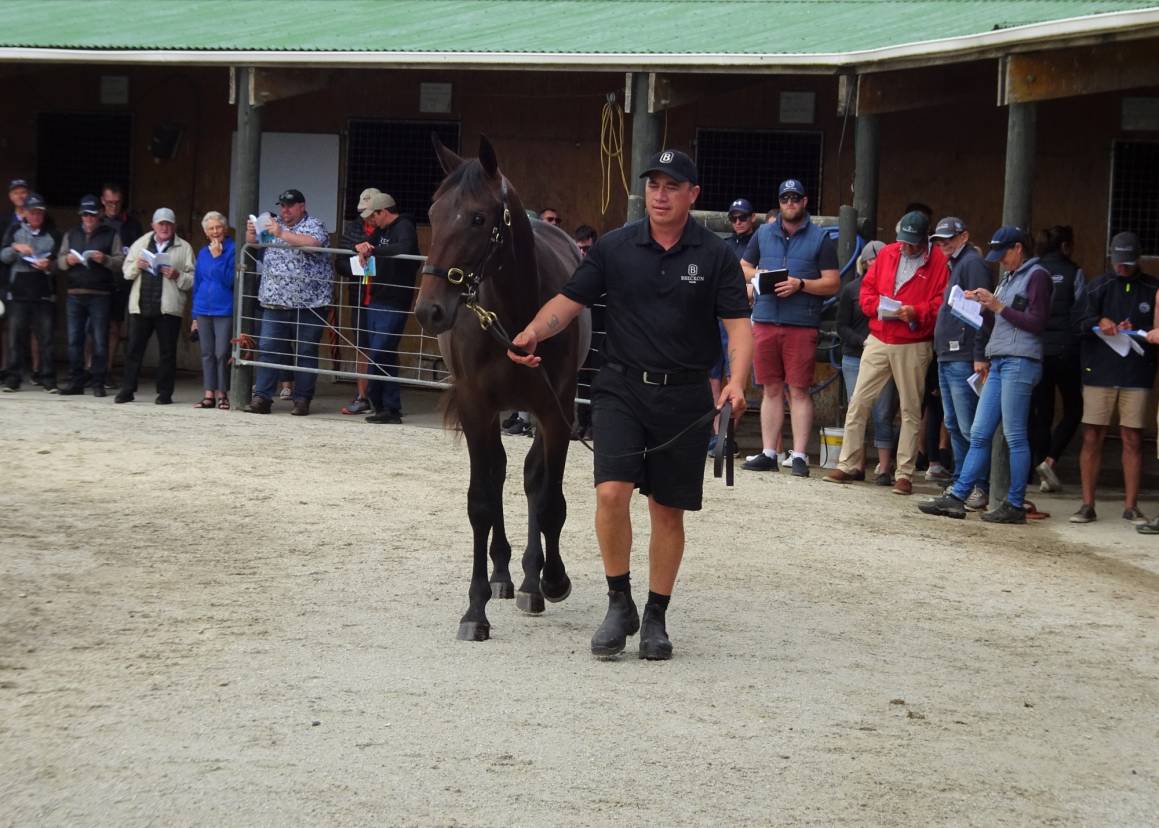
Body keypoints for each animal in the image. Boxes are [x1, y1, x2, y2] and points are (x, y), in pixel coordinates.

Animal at [414, 133, 593, 640]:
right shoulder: (476, 407)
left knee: (532, 478)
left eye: (478, 218)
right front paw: (475, 609)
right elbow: (480, 500)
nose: (430, 310)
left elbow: (549, 499)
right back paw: (502, 575)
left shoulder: (556, 411)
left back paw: (532, 578)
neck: (515, 317)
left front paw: (553, 579)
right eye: (433, 212)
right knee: (496, 476)